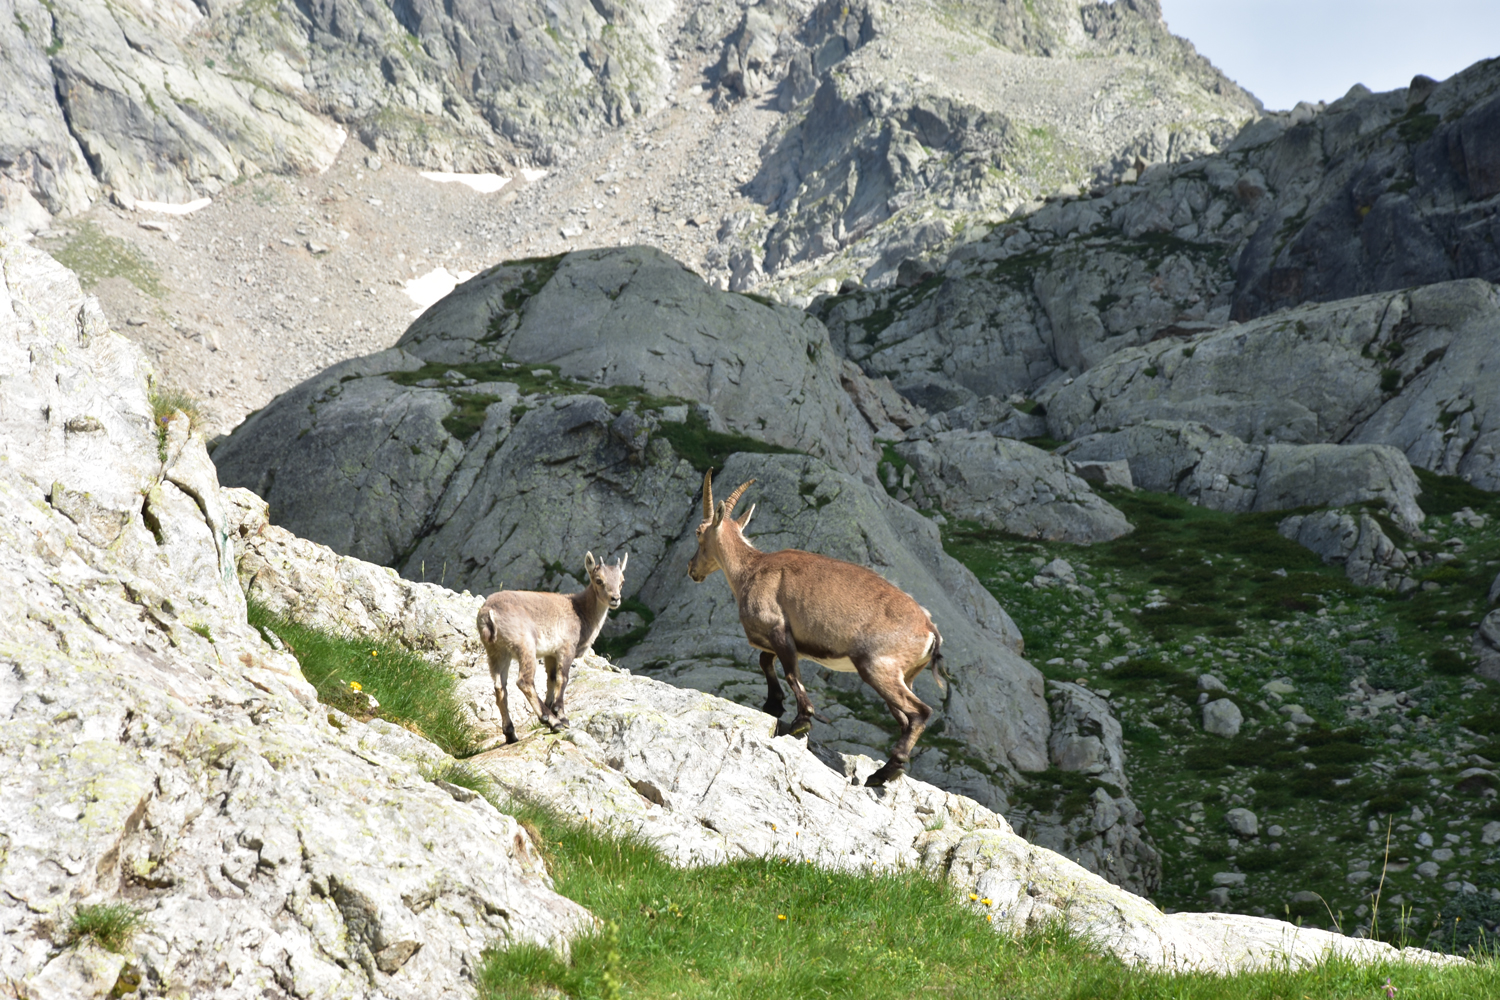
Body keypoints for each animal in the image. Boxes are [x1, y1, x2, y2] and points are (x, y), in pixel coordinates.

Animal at [476, 551, 626, 743]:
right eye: (599, 580)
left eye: (622, 581)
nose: (615, 599)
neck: (580, 611)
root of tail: (489, 613)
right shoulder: (566, 648)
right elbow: (563, 678)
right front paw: (560, 714)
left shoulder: (550, 654)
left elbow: (552, 678)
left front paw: (551, 706)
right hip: (525, 646)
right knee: (524, 681)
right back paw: (552, 722)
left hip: (496, 652)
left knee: (500, 687)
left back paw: (511, 734)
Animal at [687, 471, 941, 786]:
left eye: (698, 532)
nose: (691, 568)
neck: (751, 569)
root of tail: (929, 629)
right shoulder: (781, 639)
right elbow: (765, 661)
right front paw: (774, 704)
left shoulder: (779, 630)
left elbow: (791, 674)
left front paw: (801, 721)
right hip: (904, 676)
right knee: (906, 718)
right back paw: (885, 771)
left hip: (877, 666)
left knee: (920, 713)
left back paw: (887, 770)